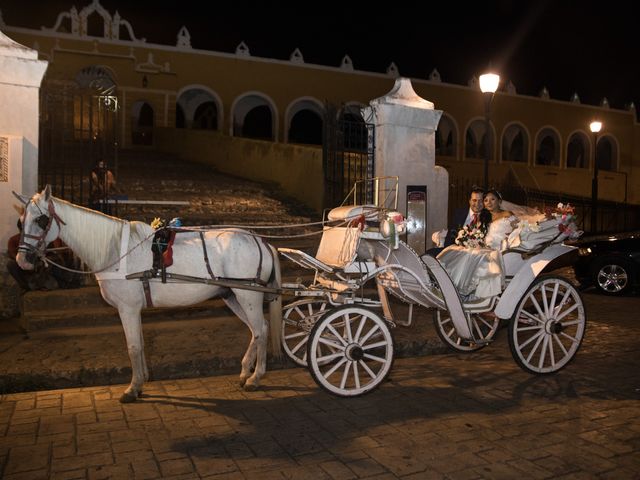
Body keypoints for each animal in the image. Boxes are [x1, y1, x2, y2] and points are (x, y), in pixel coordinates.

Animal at [15, 186, 282, 404]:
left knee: (260, 329)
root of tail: (262, 242)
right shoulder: (135, 309)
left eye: (41, 220)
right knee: (258, 330)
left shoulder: (128, 308)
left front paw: (132, 389)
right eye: (20, 222)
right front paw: (142, 380)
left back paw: (255, 378)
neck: (116, 251)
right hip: (233, 296)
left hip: (248, 296)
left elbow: (133, 346)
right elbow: (141, 344)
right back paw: (246, 372)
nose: (22, 260)